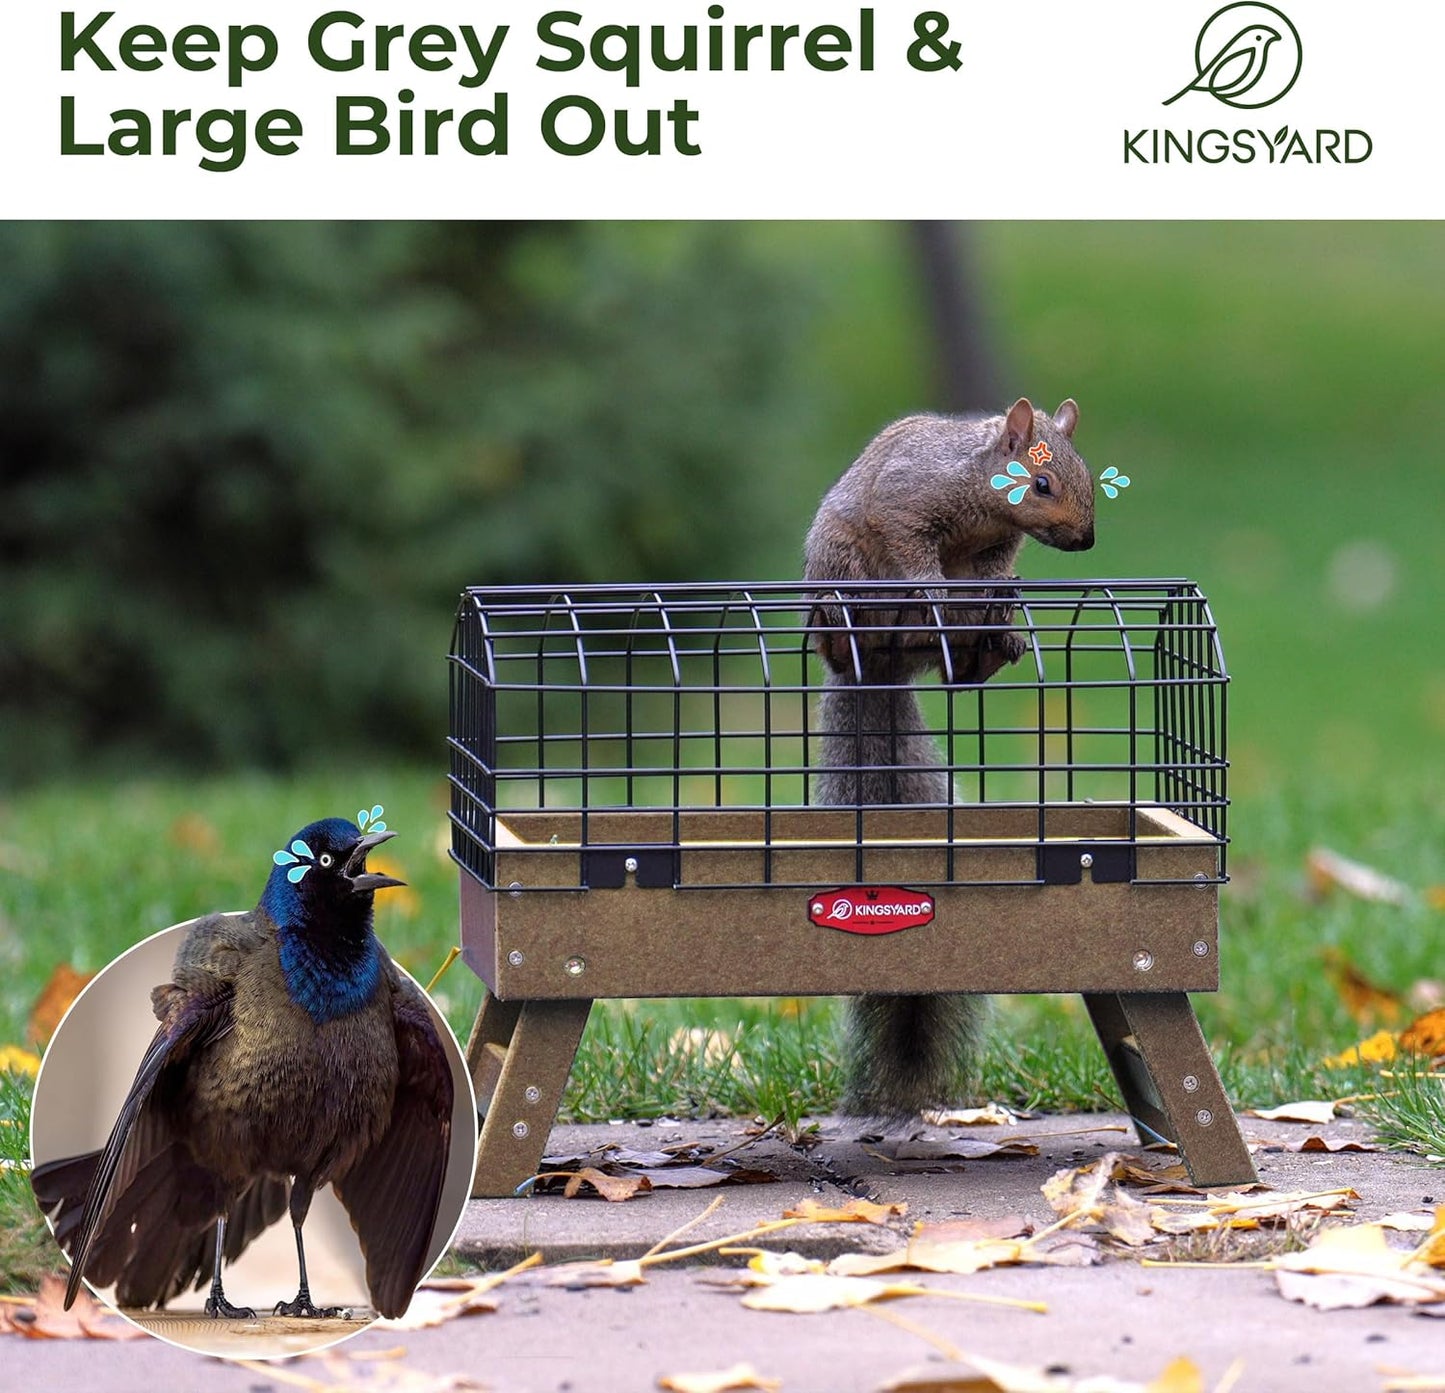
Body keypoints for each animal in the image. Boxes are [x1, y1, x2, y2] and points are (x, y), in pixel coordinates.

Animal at [804, 397, 1096, 1119]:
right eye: (1040, 484)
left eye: (1087, 478)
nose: (1085, 541)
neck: (983, 504)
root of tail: (874, 671)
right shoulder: (907, 503)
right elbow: (912, 549)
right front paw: (934, 587)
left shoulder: (992, 551)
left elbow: (991, 575)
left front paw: (998, 600)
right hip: (843, 572)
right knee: (857, 619)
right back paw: (869, 624)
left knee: (960, 669)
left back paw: (990, 642)